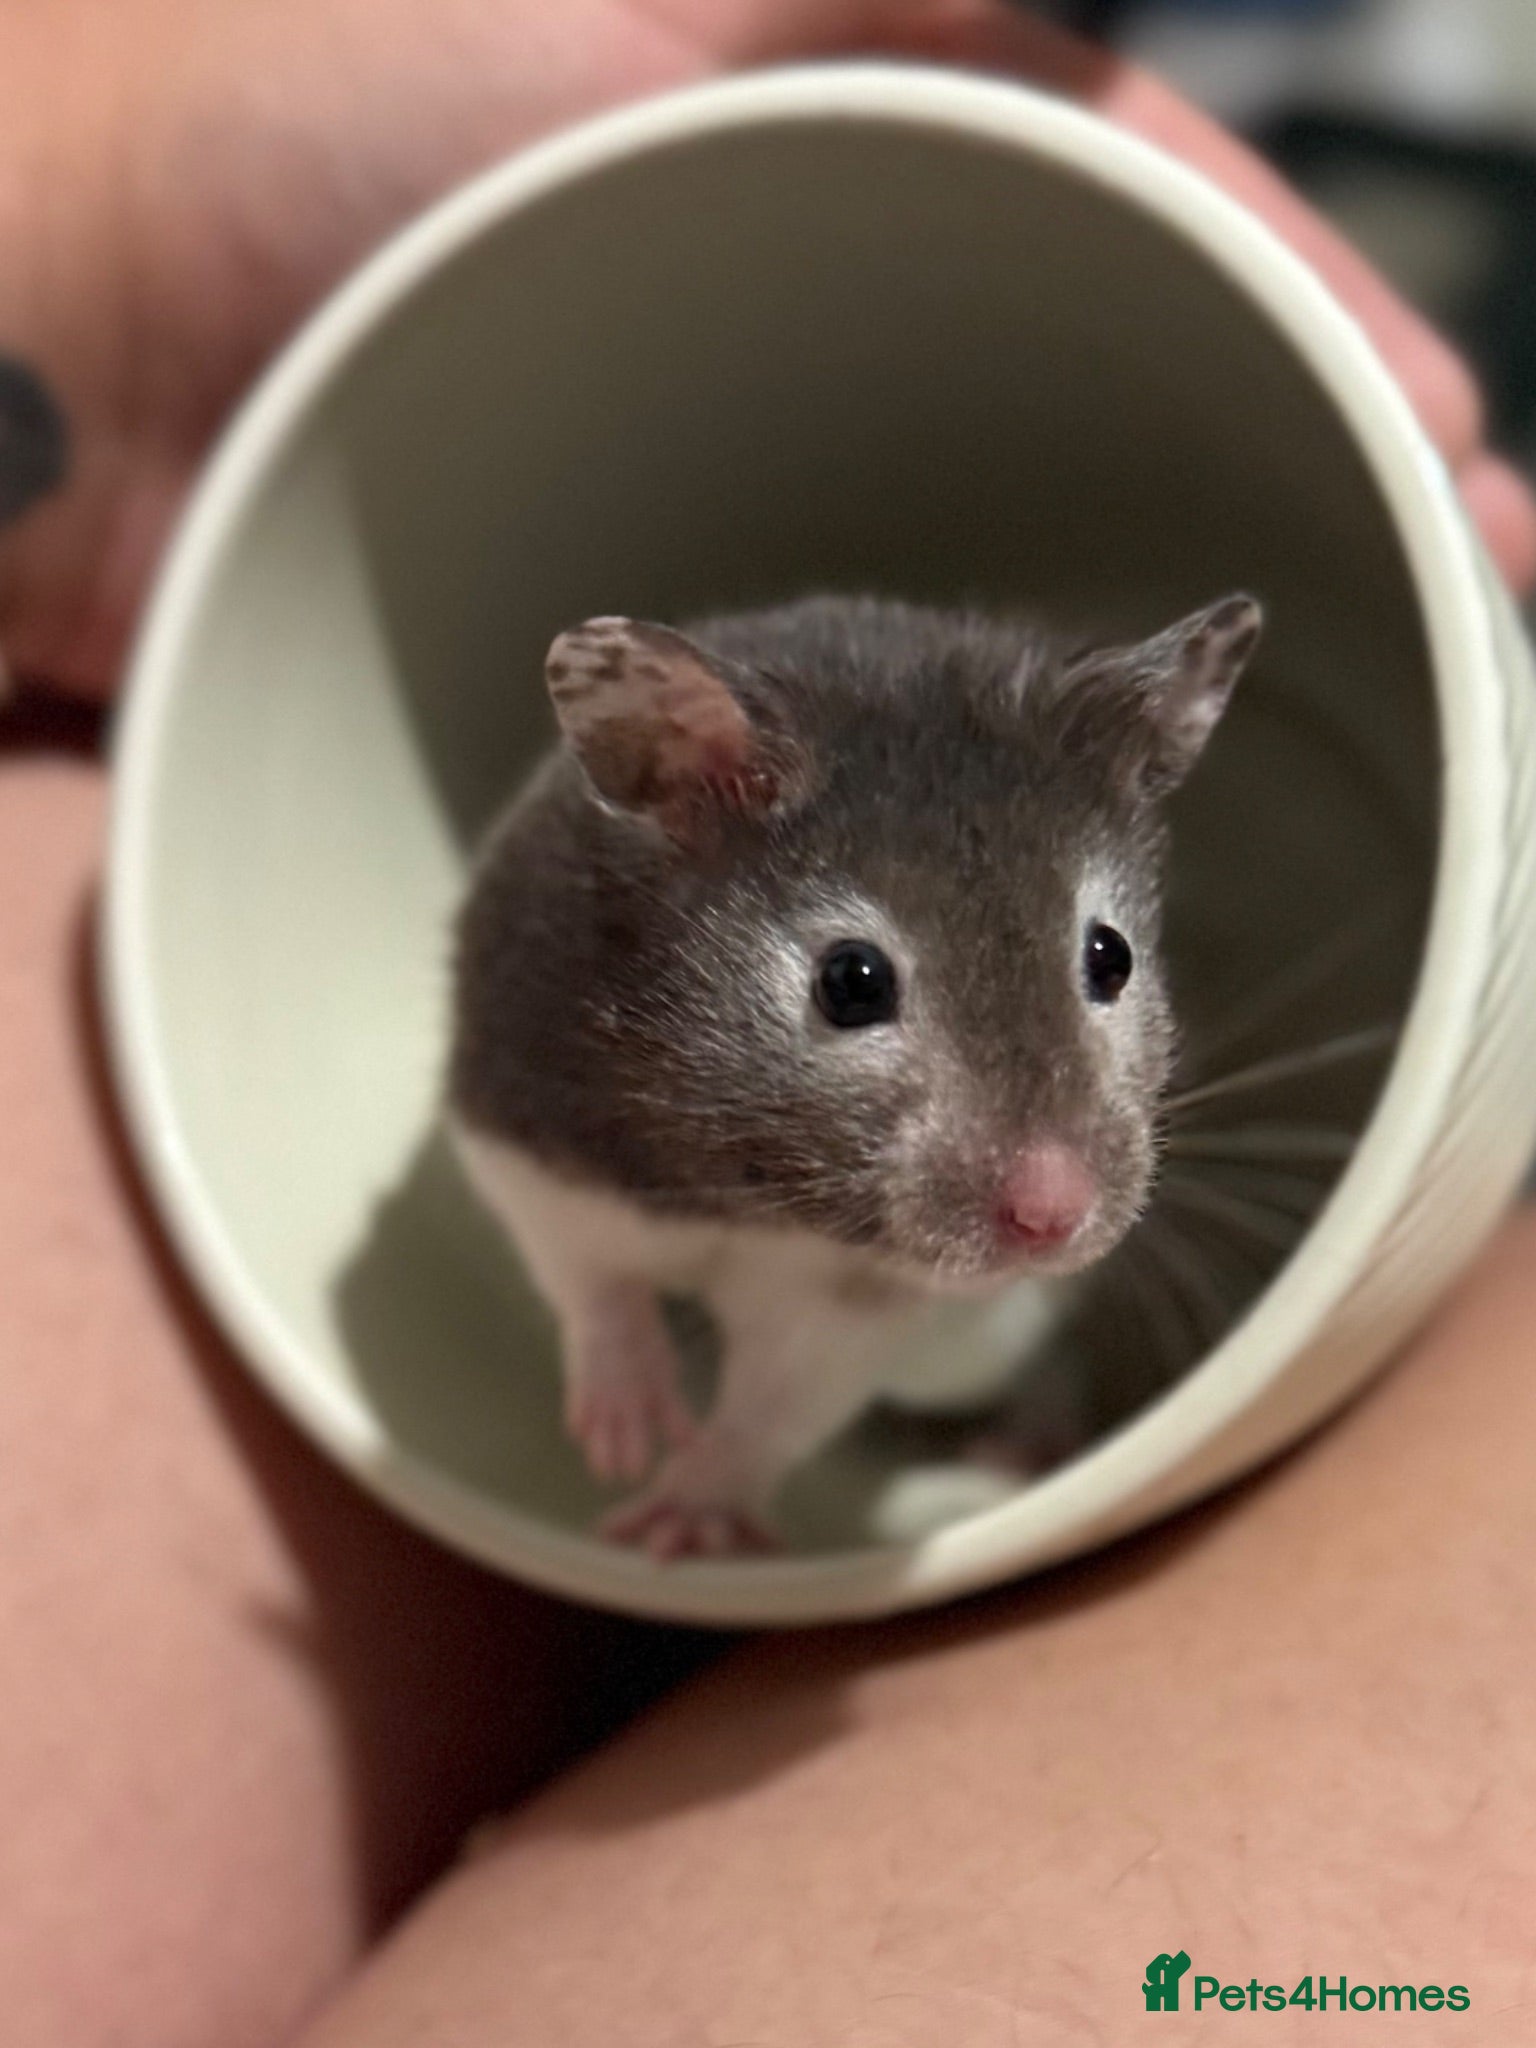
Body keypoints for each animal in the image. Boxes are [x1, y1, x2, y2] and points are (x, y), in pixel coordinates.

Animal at [447, 592, 1262, 1559]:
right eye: (851, 980)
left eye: (1112, 956)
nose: (1054, 1218)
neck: (756, 1193)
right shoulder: (528, 1136)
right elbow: (591, 1278)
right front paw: (622, 1448)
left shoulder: (853, 1311)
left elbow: (774, 1407)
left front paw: (674, 1529)